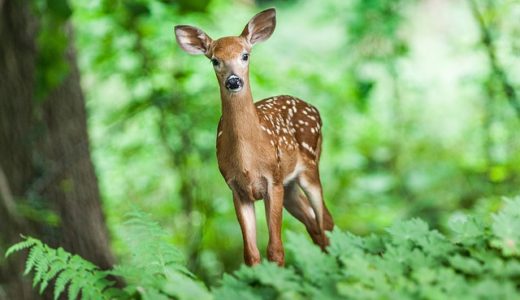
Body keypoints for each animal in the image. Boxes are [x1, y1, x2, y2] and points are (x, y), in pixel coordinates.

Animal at [175, 7, 334, 264]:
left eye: (245, 55)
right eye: (215, 60)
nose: (233, 81)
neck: (248, 161)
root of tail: (314, 109)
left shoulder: (273, 181)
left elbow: (276, 249)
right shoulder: (237, 189)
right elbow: (250, 253)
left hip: (309, 166)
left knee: (325, 221)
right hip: (290, 186)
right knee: (314, 224)